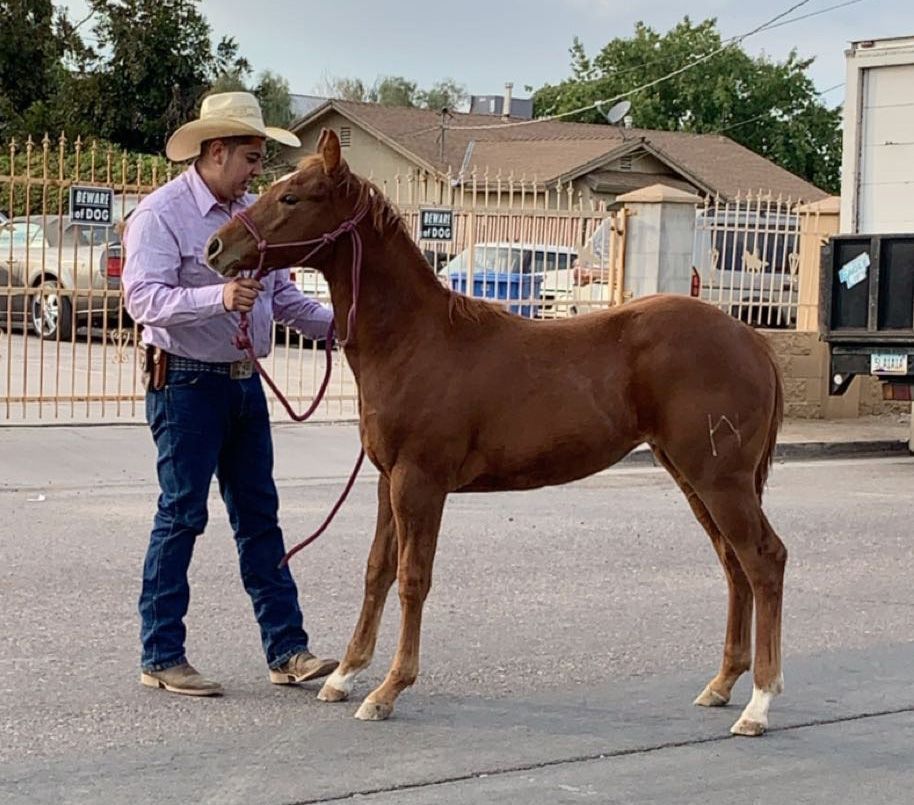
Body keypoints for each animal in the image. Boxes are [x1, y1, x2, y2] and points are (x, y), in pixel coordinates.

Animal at [207, 130, 784, 736]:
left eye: (292, 197)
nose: (215, 248)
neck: (416, 339)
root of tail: (750, 337)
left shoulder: (420, 483)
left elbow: (413, 578)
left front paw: (388, 689)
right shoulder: (388, 481)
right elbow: (376, 571)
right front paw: (344, 675)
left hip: (720, 480)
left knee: (763, 560)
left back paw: (759, 702)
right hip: (695, 478)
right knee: (734, 564)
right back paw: (722, 685)